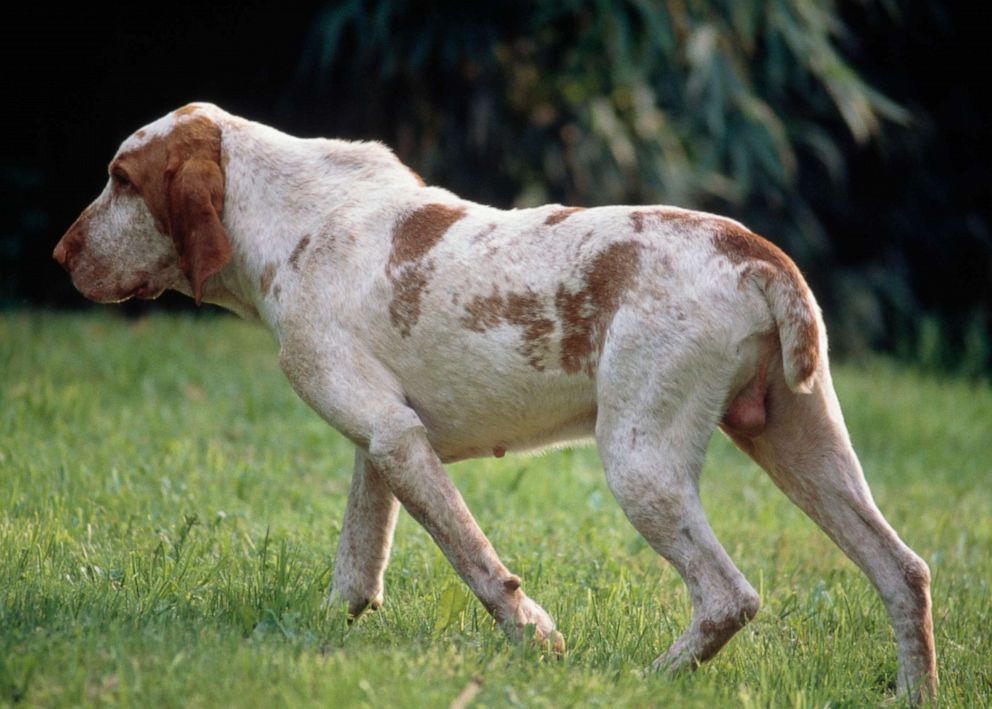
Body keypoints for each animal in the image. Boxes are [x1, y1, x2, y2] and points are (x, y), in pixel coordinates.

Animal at [54, 105, 936, 704]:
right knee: (903, 569)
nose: (60, 254)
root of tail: (757, 256)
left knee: (729, 596)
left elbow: (480, 566)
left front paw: (538, 644)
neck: (290, 216)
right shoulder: (383, 445)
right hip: (806, 448)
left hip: (640, 464)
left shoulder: (396, 440)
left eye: (122, 181)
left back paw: (639, 681)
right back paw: (915, 691)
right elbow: (355, 570)